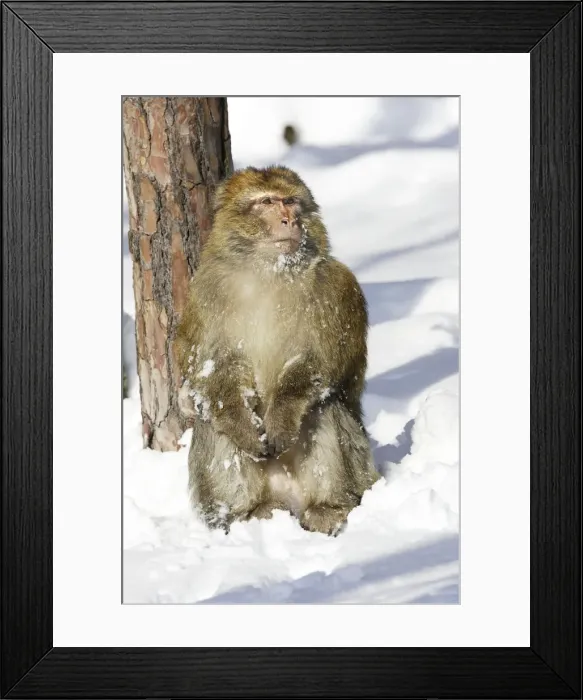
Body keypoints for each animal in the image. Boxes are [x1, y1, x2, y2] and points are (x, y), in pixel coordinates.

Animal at [175, 165, 380, 536]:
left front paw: (282, 419)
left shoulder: (336, 287)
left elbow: (318, 363)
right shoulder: (205, 291)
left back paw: (330, 508)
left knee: (322, 406)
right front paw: (242, 426)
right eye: (267, 202)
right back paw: (244, 513)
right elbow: (211, 368)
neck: (269, 272)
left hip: (358, 471)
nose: (289, 219)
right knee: (210, 417)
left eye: (291, 201)